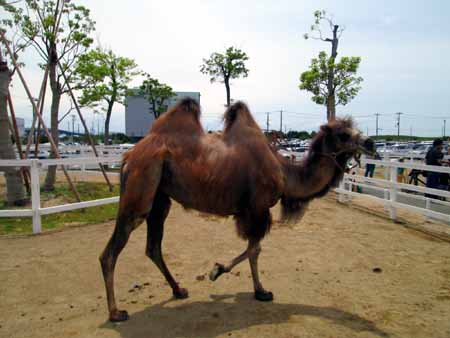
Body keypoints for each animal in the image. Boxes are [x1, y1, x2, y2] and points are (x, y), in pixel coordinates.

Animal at [100, 98, 374, 322]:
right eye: (343, 134)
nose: (370, 142)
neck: (286, 174)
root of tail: (128, 156)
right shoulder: (258, 208)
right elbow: (254, 250)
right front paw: (246, 284)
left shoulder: (251, 212)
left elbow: (254, 249)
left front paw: (236, 279)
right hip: (141, 187)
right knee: (111, 252)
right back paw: (115, 312)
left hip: (160, 198)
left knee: (153, 246)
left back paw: (178, 290)